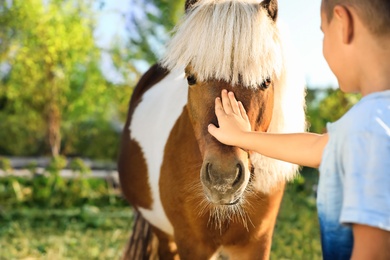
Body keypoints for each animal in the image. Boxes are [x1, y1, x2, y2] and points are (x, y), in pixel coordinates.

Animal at [117, 0, 306, 258]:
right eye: (190, 78)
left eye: (266, 81)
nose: (222, 179)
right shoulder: (192, 244)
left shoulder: (256, 245)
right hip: (163, 234)